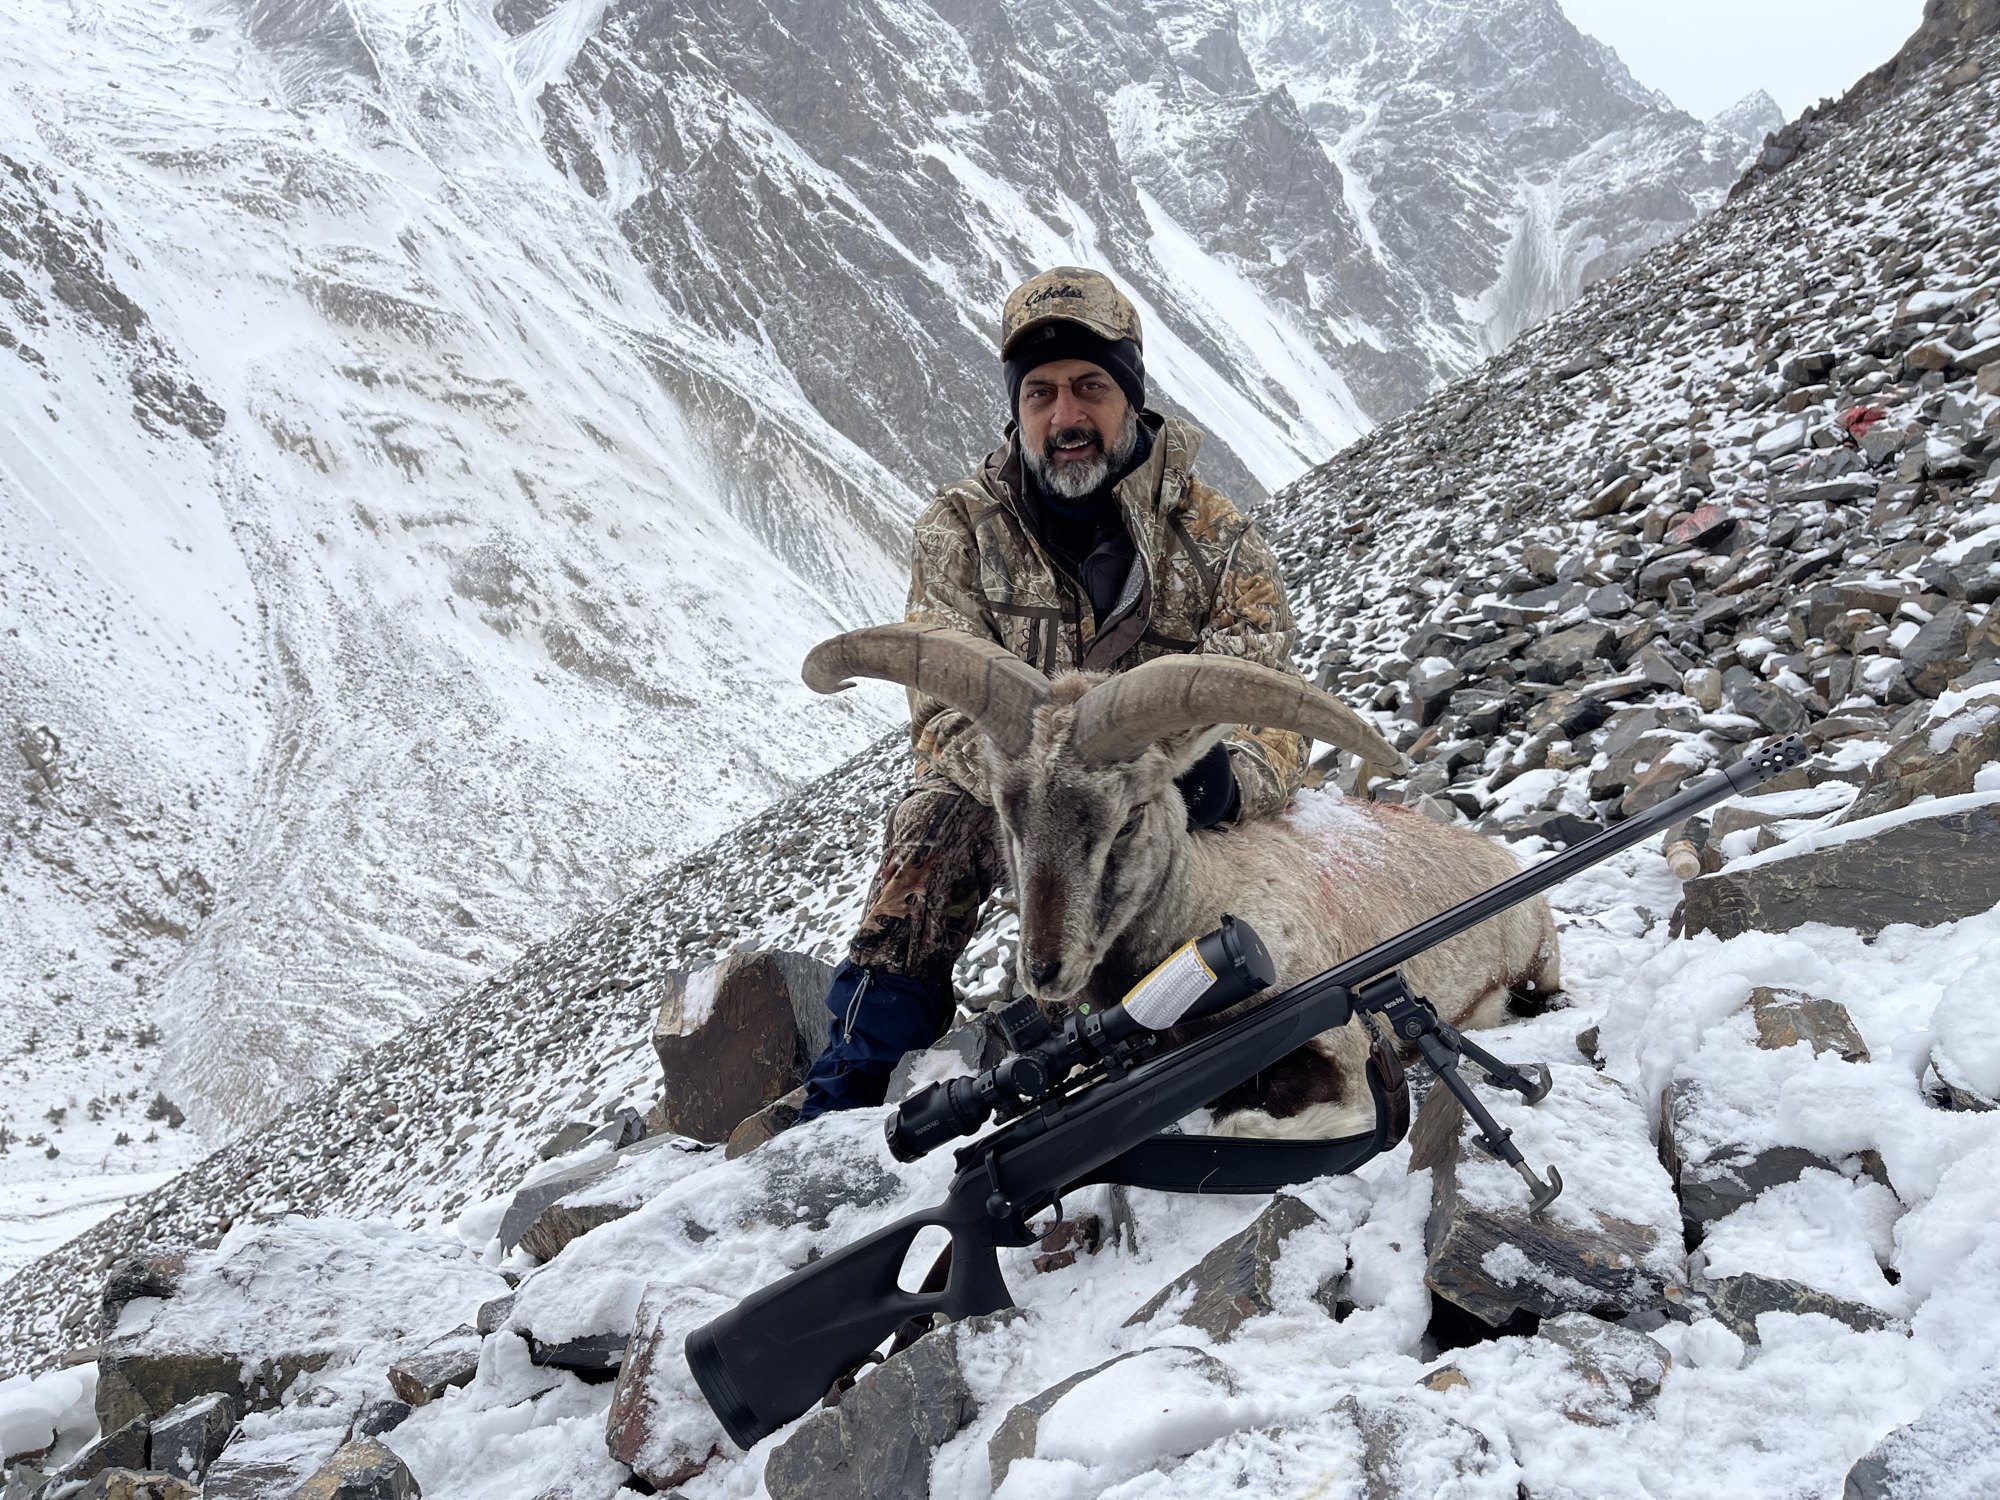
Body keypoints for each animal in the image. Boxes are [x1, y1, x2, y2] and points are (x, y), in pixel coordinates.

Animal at [805, 623, 1561, 1141]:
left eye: (1129, 816)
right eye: (1005, 811)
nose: (1045, 970)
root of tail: (1501, 859)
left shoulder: (1340, 1052)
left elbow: (1251, 1119)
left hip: (1537, 963)